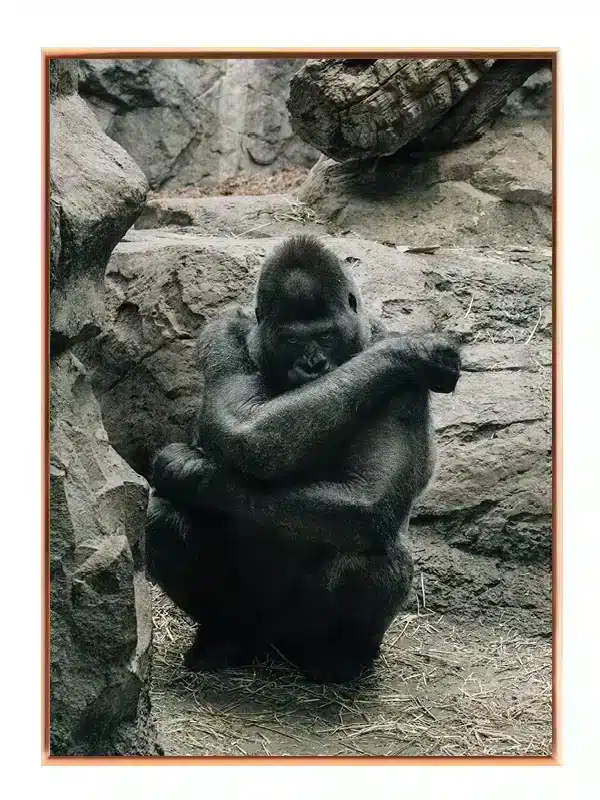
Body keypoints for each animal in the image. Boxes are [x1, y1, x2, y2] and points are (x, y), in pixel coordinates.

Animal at [146, 235, 460, 683]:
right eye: (294, 341)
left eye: (326, 337)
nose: (313, 365)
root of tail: (274, 645)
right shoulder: (222, 335)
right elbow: (244, 425)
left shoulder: (406, 388)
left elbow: (369, 496)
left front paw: (188, 471)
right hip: (255, 622)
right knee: (165, 519)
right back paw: (224, 638)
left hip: (301, 633)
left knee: (367, 539)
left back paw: (340, 658)